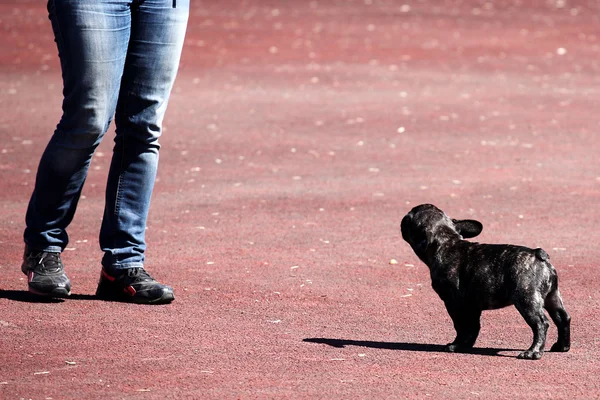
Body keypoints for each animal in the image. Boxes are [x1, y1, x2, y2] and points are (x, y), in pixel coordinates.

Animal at [400, 203, 568, 360]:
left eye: (409, 218)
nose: (403, 219)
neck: (446, 241)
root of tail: (538, 255)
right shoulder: (472, 305)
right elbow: (473, 327)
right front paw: (465, 345)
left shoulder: (454, 303)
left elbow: (461, 326)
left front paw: (456, 345)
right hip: (552, 297)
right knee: (563, 318)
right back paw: (562, 346)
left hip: (526, 299)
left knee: (541, 323)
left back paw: (533, 352)